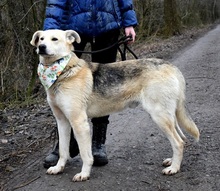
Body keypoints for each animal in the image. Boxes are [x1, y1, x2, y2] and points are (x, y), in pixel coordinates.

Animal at [30, 29, 200, 182]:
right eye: (41, 39)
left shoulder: (79, 122)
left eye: (54, 39)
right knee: (181, 139)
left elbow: (86, 155)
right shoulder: (62, 121)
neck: (64, 72)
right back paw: (172, 161)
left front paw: (84, 174)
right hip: (168, 116)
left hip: (160, 116)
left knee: (178, 142)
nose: (41, 47)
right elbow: (63, 151)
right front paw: (58, 168)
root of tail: (170, 65)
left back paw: (174, 168)